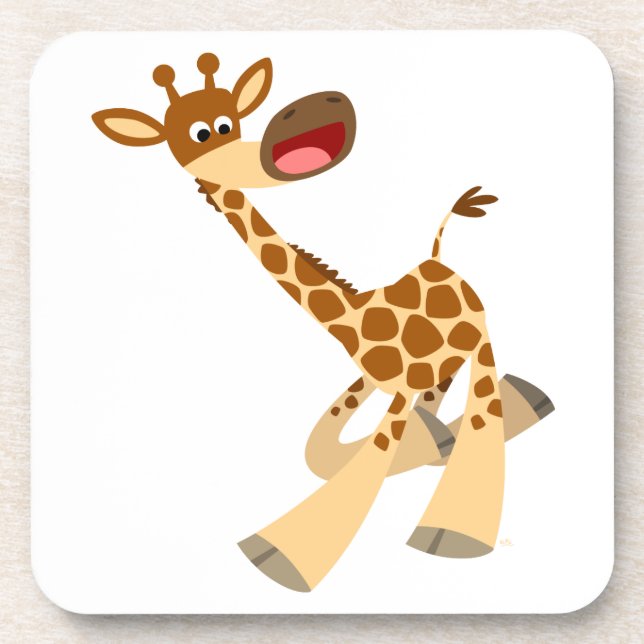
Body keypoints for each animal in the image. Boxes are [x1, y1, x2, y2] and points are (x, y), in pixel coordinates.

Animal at [92, 52, 553, 592]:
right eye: (197, 134)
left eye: (226, 123)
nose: (307, 113)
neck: (352, 316)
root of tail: (439, 259)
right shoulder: (377, 380)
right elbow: (328, 452)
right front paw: (428, 441)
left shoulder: (398, 386)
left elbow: (372, 453)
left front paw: (279, 557)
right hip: (440, 365)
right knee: (444, 404)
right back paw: (449, 436)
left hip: (476, 342)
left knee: (483, 405)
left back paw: (452, 526)